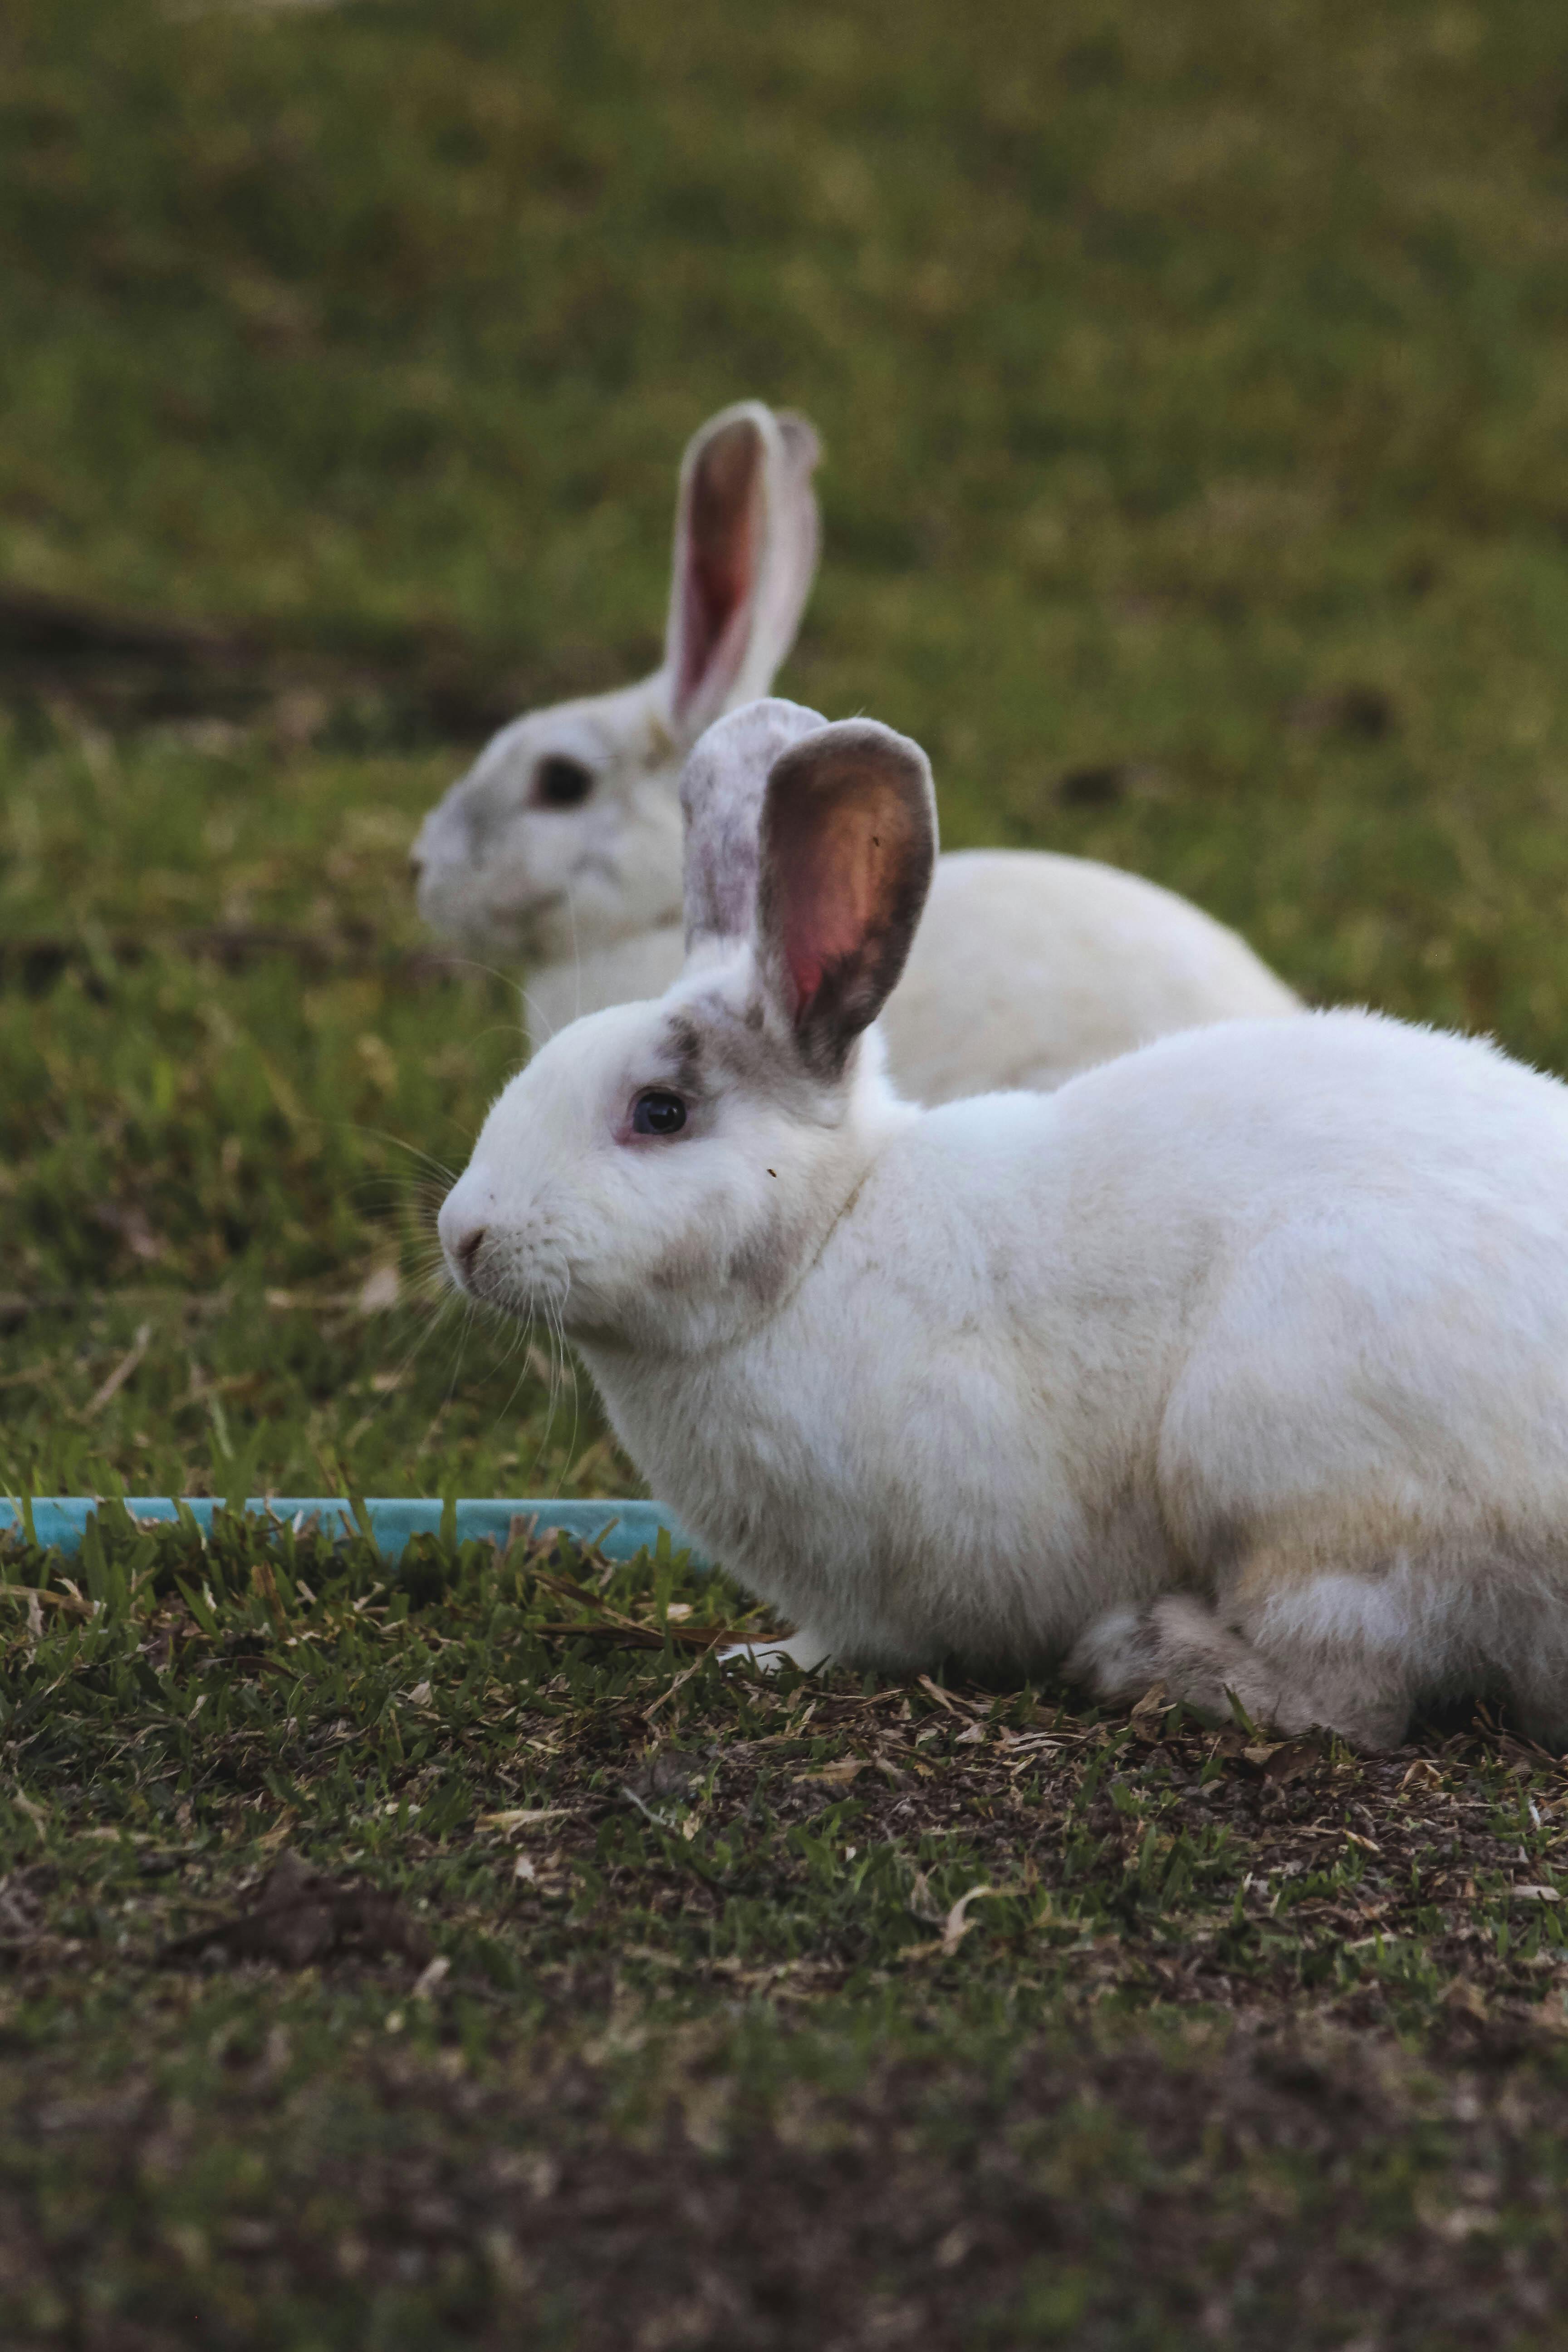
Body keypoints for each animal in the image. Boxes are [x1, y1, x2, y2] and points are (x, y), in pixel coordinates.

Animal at [442, 706, 1568, 1759]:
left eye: (662, 1112)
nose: (464, 1237)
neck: (825, 1239)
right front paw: (761, 1657)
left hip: (1300, 1476)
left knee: (1353, 1694)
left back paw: (1140, 1655)